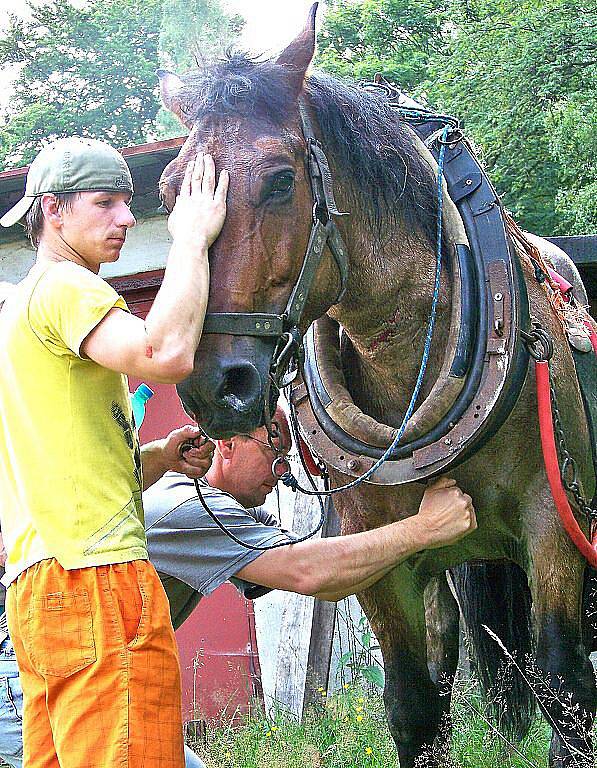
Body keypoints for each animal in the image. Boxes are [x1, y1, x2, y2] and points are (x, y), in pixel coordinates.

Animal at [158, 6, 596, 768]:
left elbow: (564, 686)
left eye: (280, 180)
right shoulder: (378, 557)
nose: (216, 386)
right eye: (166, 192)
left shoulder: (554, 525)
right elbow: (415, 704)